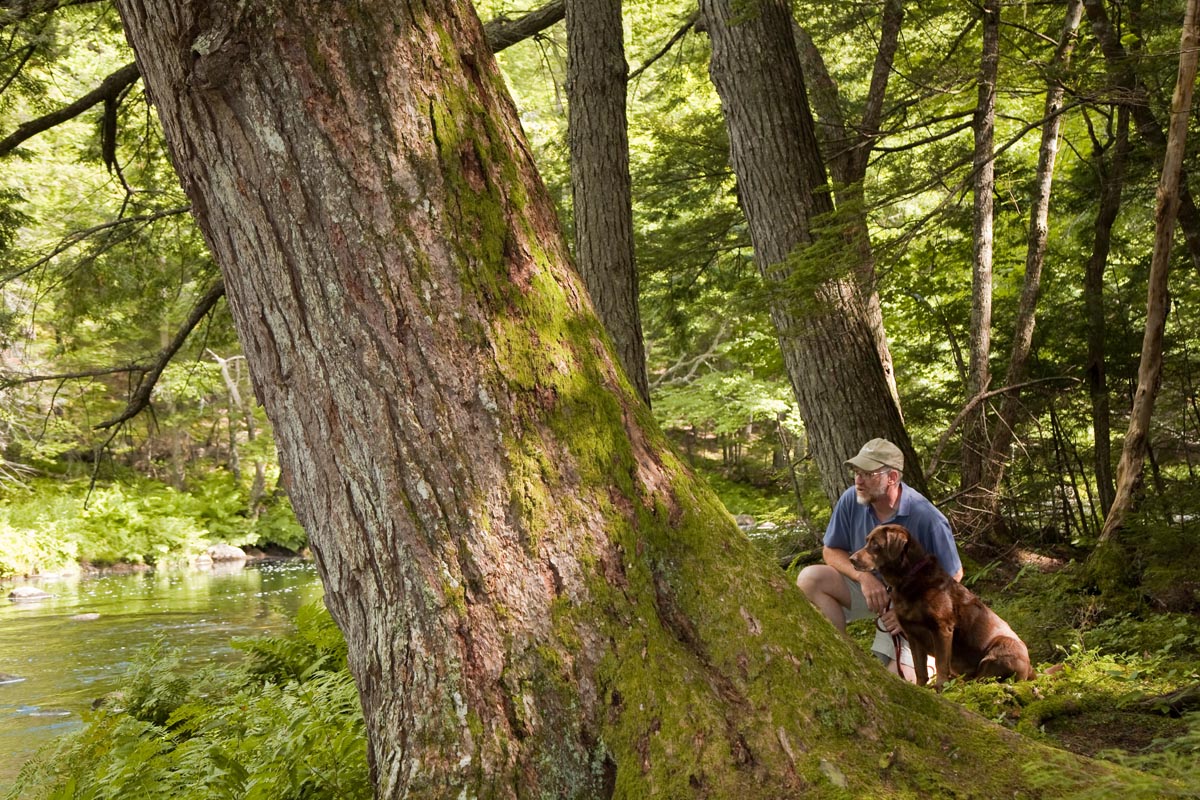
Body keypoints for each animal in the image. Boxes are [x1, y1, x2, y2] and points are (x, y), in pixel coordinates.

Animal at [849, 525, 1036, 690]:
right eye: (867, 540)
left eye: (875, 544)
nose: (852, 559)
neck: (907, 578)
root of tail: (1030, 669)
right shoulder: (912, 634)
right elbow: (919, 669)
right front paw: (921, 688)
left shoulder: (941, 629)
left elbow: (940, 663)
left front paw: (941, 687)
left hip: (999, 650)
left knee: (984, 680)